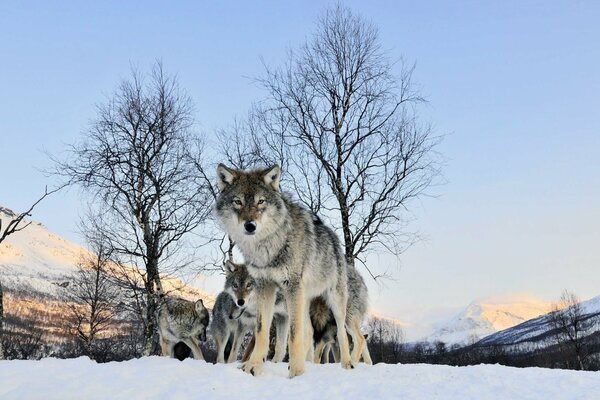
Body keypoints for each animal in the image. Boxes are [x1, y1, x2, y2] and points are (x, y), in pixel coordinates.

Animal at [216, 163, 354, 378]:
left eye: (261, 201)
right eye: (238, 202)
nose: (250, 225)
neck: (267, 247)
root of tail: (333, 237)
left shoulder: (291, 286)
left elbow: (294, 335)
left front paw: (296, 373)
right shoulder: (265, 287)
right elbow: (262, 332)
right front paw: (253, 366)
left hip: (334, 301)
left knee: (341, 333)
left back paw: (347, 363)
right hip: (303, 300)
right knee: (309, 332)